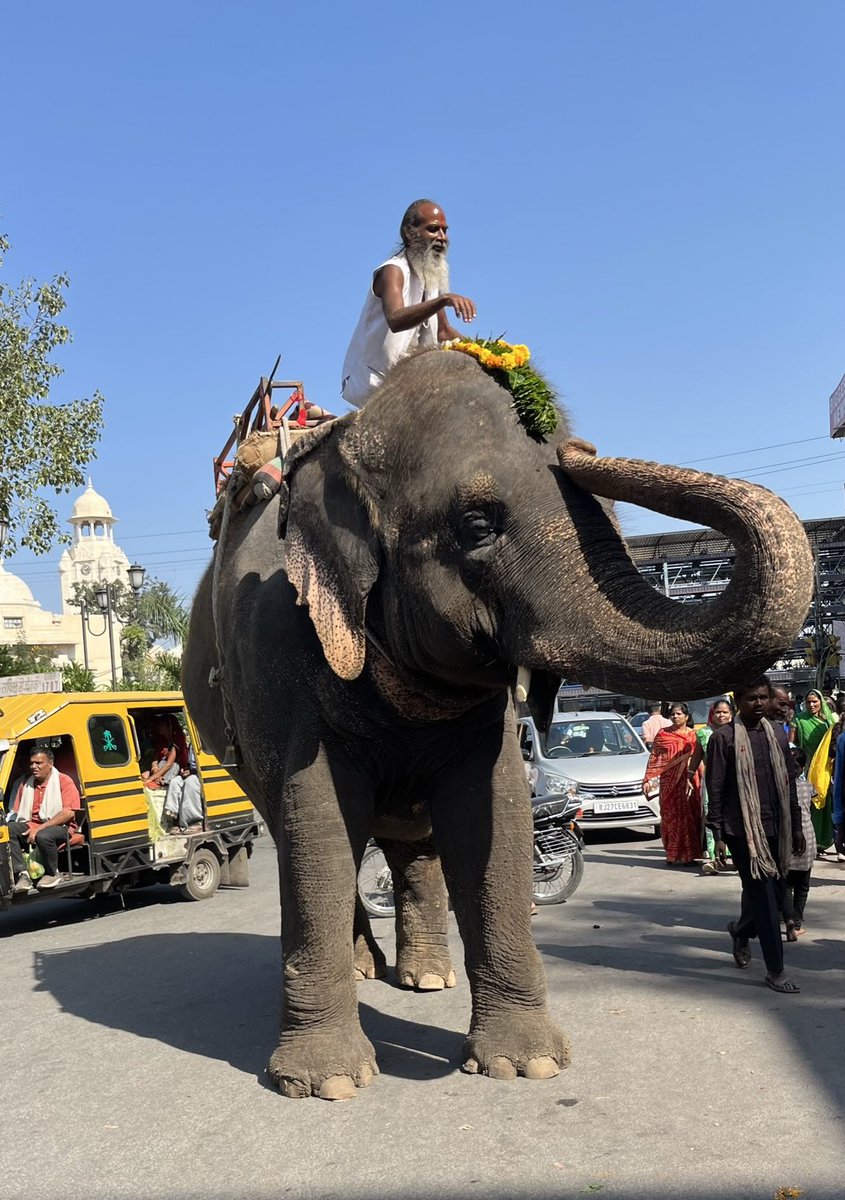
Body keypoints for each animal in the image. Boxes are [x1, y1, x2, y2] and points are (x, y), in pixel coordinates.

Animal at [183, 345, 811, 1099]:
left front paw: (525, 1064)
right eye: (478, 524)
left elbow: (495, 816)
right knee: (296, 830)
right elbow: (318, 823)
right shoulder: (280, 662)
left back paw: (427, 977)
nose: (578, 450)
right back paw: (367, 970)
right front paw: (326, 1083)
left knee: (412, 844)